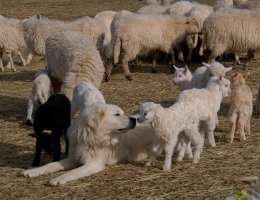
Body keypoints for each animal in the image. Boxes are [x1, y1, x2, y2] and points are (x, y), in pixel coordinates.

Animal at [21, 103, 160, 184]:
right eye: (117, 114)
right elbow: (51, 164)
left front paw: (59, 178)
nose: (134, 120)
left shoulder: (94, 163)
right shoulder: (74, 158)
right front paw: (33, 171)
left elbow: (74, 172)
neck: (89, 137)